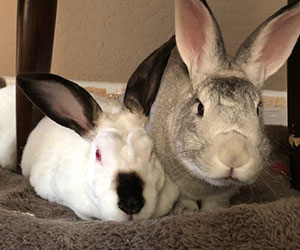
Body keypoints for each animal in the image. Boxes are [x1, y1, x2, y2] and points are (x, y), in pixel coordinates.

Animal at [123, 0, 300, 215]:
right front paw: (186, 211)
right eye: (200, 107)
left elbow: (216, 204)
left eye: (258, 109)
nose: (234, 157)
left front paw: (213, 213)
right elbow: (184, 199)